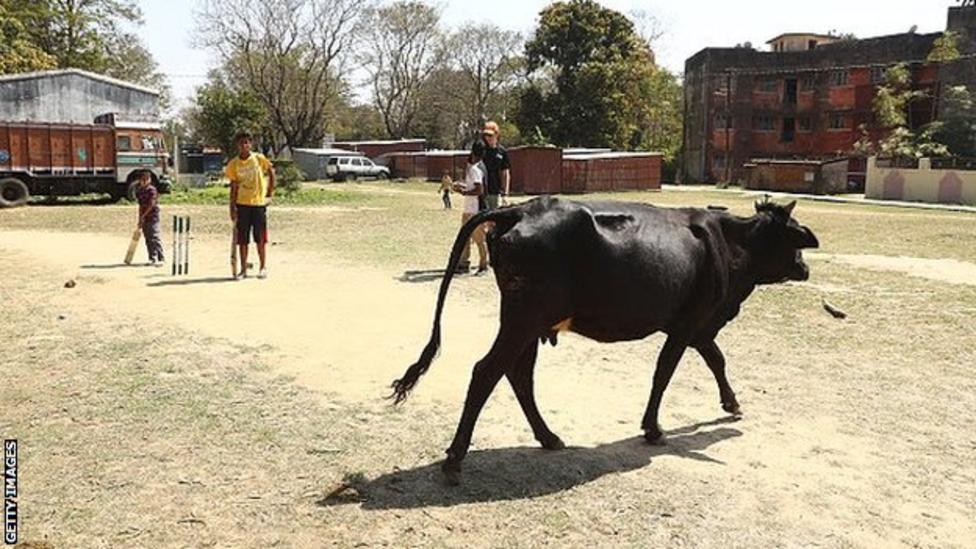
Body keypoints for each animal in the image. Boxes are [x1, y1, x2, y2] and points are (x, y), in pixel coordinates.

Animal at [392, 196, 819, 484]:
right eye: (793, 240)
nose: (805, 268)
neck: (730, 242)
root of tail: (521, 209)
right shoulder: (688, 323)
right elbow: (665, 372)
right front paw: (653, 428)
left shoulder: (697, 327)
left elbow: (716, 359)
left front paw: (731, 403)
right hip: (525, 316)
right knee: (487, 372)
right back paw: (455, 460)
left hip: (524, 321)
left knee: (519, 374)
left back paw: (548, 437)